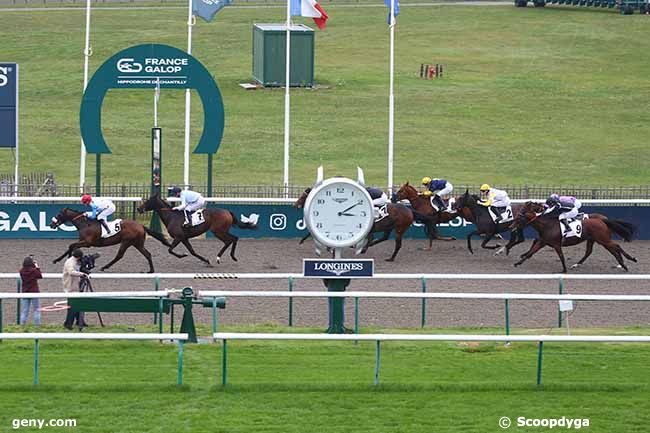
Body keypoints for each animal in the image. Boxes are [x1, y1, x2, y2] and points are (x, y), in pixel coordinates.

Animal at [508, 201, 636, 272]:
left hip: (603, 239)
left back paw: (629, 260)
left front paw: (564, 270)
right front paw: (518, 263)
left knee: (616, 246)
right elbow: (532, 251)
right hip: (595, 240)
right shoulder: (543, 242)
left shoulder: (556, 244)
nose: (510, 226)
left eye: (519, 218)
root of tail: (603, 220)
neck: (547, 225)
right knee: (593, 251)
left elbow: (561, 256)